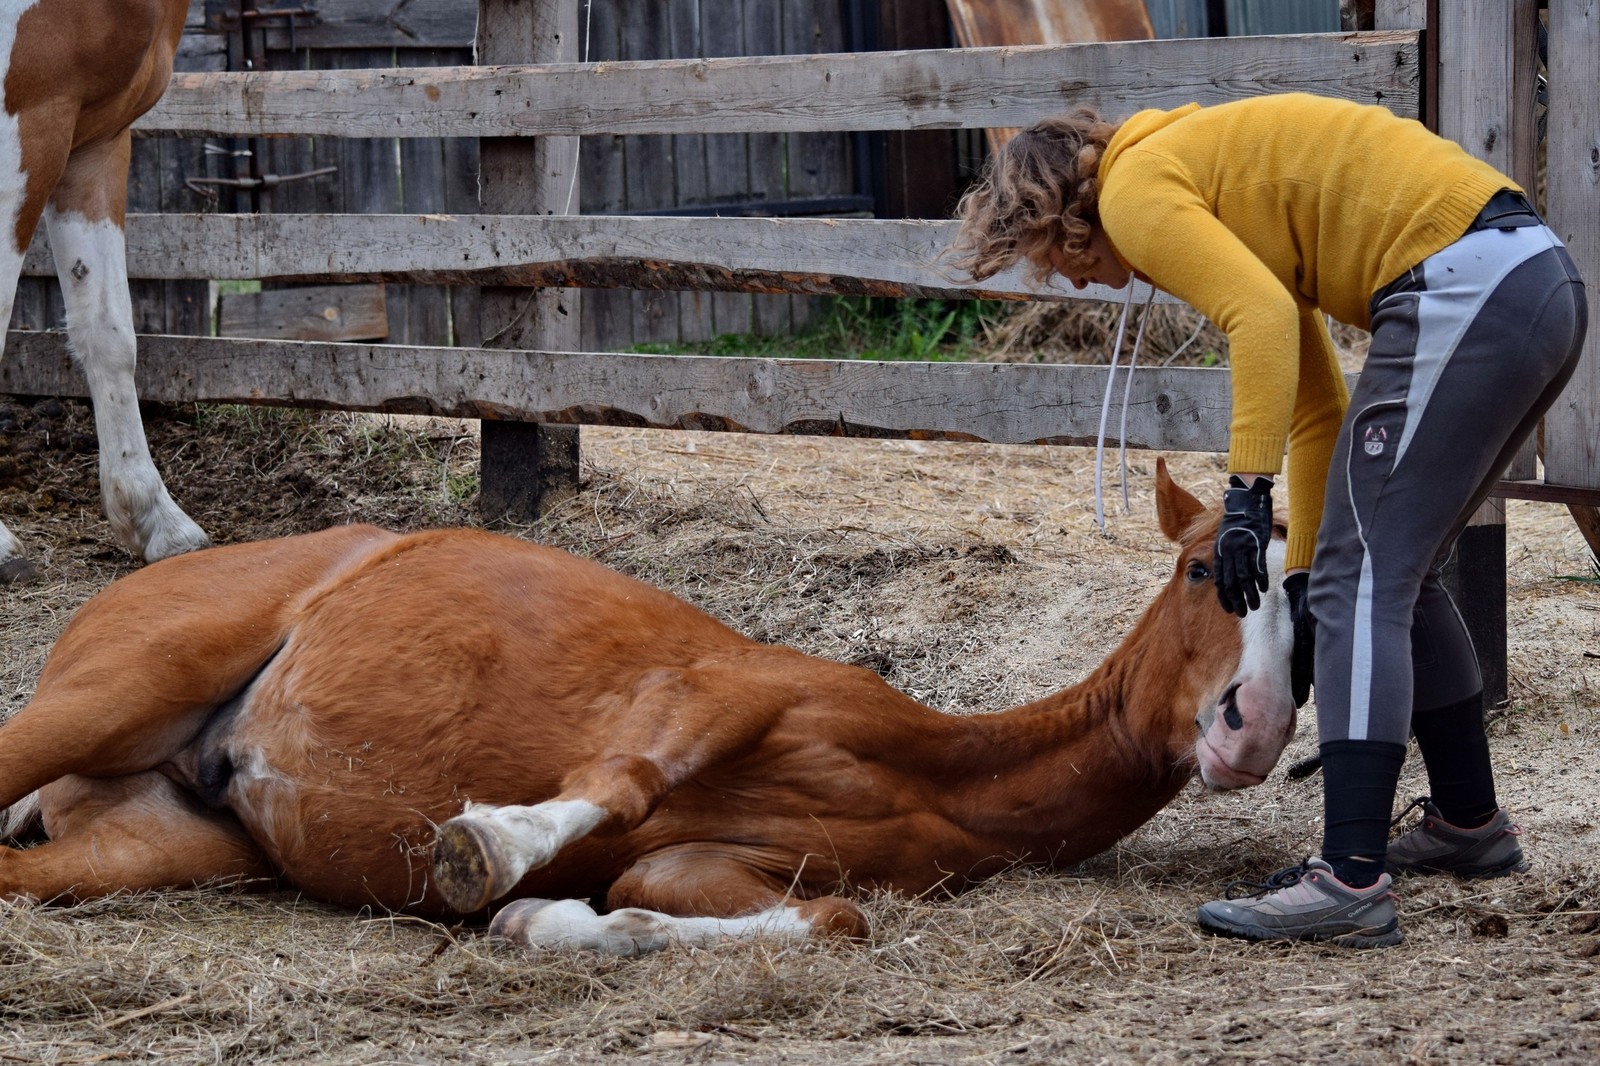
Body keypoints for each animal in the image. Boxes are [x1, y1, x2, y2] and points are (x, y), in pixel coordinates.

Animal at [0, 460, 1299, 947]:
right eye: (1203, 570)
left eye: (1312, 596)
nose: (1249, 730)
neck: (937, 771)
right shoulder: (713, 692)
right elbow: (618, 783)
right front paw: (490, 853)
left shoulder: (711, 865)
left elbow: (816, 916)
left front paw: (548, 922)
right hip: (122, 691)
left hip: (149, 846)